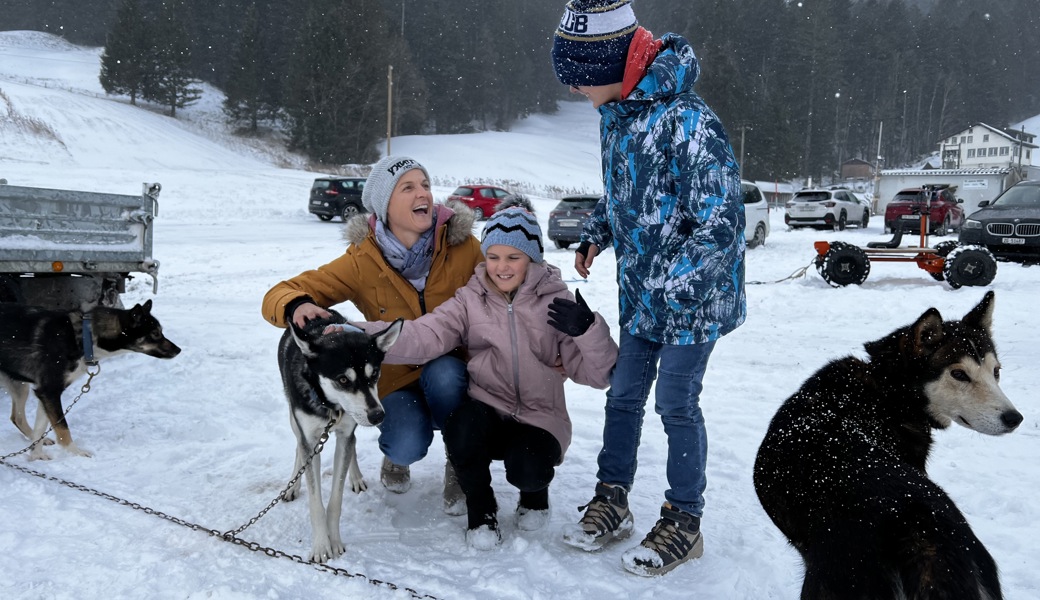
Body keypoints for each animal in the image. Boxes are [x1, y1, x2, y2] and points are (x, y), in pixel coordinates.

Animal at [0, 299, 180, 457]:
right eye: (155, 334)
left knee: (17, 418)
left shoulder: (45, 393)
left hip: (19, 385)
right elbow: (63, 428)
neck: (84, 337)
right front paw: (75, 452)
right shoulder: (49, 391)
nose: (178, 350)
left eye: (160, 332)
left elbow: (41, 428)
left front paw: (36, 456)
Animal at [276, 311, 401, 565]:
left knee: (352, 447)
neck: (331, 407)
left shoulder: (345, 433)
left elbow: (335, 500)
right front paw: (321, 546)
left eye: (374, 374)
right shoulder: (310, 439)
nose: (378, 415)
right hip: (295, 420)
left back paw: (356, 477)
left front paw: (333, 541)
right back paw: (293, 484)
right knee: (298, 447)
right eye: (343, 380)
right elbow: (316, 503)